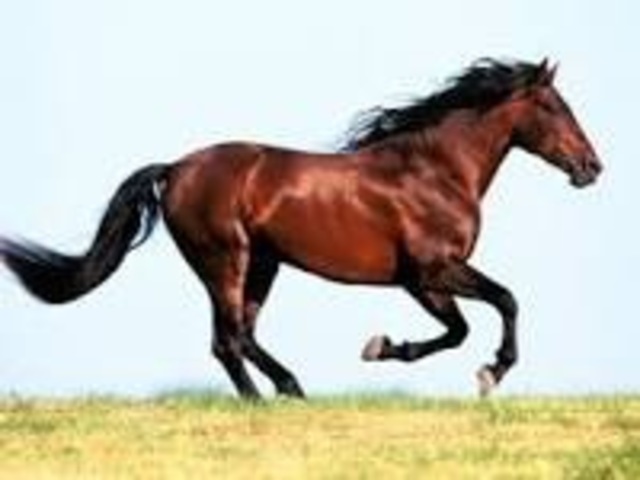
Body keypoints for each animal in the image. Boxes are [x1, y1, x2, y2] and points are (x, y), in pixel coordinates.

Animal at [0, 58, 602, 398]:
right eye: (555, 106)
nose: (592, 167)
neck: (433, 170)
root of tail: (174, 169)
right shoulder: (433, 270)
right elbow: (503, 302)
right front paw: (489, 373)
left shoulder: (421, 281)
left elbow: (460, 329)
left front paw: (385, 348)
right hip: (225, 260)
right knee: (230, 338)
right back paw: (280, 393)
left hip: (262, 265)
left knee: (236, 338)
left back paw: (277, 395)